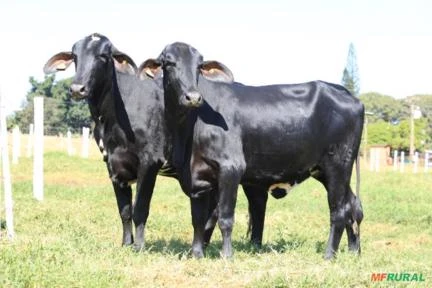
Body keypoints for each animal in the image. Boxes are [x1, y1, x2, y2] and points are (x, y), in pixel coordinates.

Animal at [140, 42, 362, 258]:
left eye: (199, 66)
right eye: (169, 63)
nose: (193, 97)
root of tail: (346, 94)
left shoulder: (231, 168)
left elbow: (225, 217)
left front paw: (227, 255)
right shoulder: (197, 178)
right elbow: (198, 220)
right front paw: (196, 254)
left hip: (338, 165)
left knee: (339, 210)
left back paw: (329, 255)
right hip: (324, 170)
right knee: (353, 205)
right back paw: (353, 252)